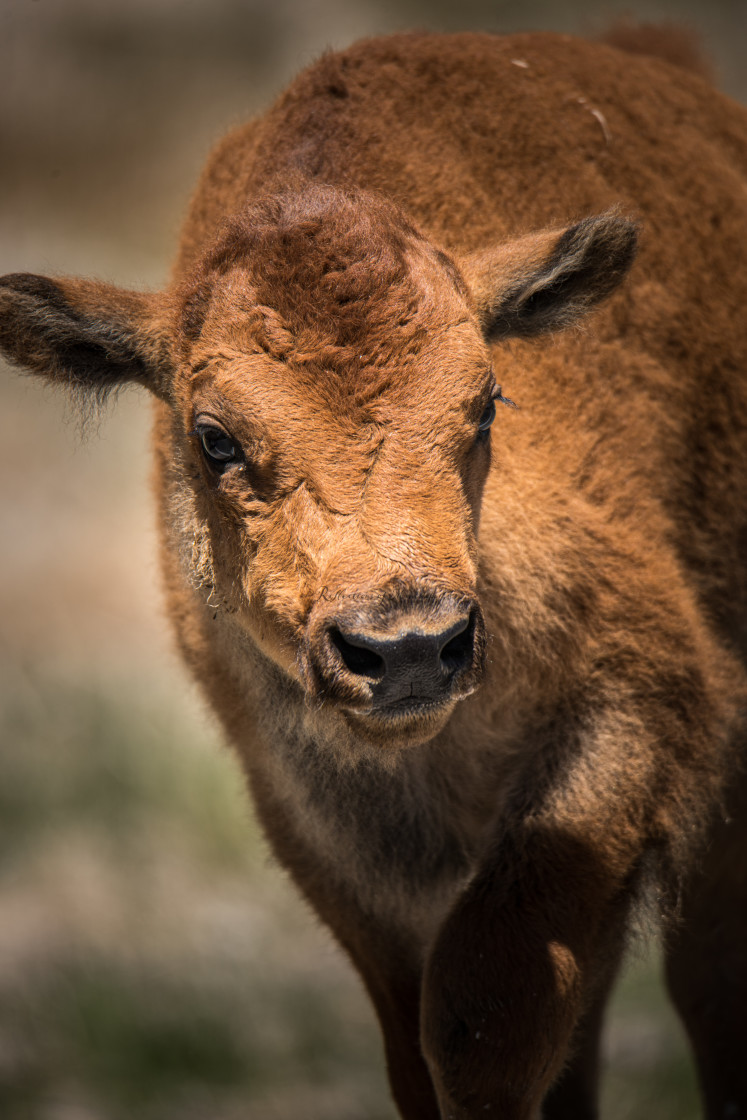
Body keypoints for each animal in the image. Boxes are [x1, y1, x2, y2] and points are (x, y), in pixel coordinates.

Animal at [1, 30, 747, 1120]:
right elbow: (425, 1043)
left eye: (487, 402)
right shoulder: (320, 823)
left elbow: (485, 1018)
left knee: (708, 983)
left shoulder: (631, 721)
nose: (409, 649)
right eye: (213, 436)